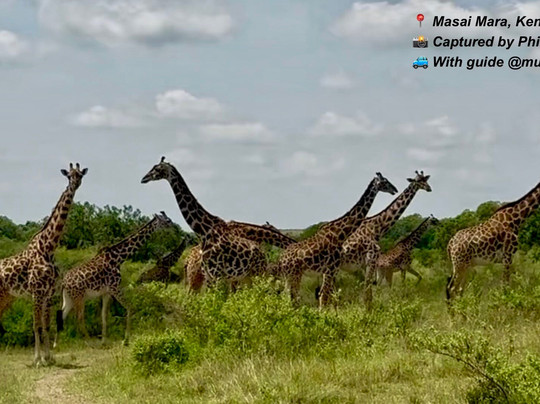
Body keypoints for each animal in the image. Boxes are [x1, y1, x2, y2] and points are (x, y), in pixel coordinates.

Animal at [0, 163, 87, 365]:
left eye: (80, 175)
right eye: (68, 175)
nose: (75, 184)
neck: (48, 248)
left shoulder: (49, 294)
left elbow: (46, 325)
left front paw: (49, 358)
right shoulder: (36, 293)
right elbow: (36, 326)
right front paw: (38, 360)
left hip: (6, 298)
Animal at [56, 212, 173, 345]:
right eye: (167, 221)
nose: (174, 227)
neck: (118, 258)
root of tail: (64, 283)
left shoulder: (106, 292)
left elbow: (104, 316)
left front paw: (104, 341)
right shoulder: (115, 288)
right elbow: (130, 307)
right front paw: (126, 339)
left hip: (69, 298)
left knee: (62, 316)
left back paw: (55, 344)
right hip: (79, 297)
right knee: (79, 319)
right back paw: (90, 342)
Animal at [141, 157, 297, 285]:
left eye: (156, 168)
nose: (143, 178)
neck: (203, 230)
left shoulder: (218, 275)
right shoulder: (212, 276)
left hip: (256, 274)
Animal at [276, 172, 398, 307]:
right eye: (385, 181)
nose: (395, 190)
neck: (340, 234)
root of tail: (281, 259)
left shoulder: (331, 270)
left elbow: (326, 296)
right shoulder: (331, 269)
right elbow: (324, 297)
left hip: (290, 275)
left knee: (288, 296)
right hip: (295, 274)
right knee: (290, 296)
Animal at [341, 171, 432, 305]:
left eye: (426, 179)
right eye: (418, 181)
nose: (429, 188)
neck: (376, 227)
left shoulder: (367, 265)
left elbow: (368, 292)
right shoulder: (371, 262)